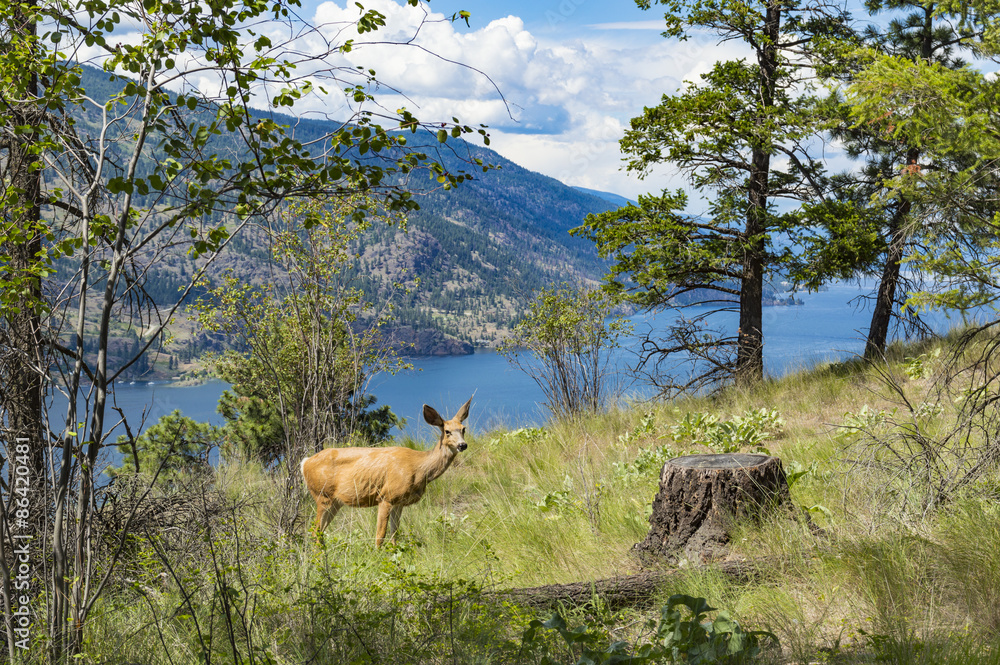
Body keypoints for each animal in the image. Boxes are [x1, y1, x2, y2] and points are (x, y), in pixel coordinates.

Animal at [300, 398, 472, 547]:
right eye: (447, 431)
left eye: (463, 429)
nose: (462, 445)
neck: (419, 468)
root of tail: (305, 463)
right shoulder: (386, 496)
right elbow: (380, 535)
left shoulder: (400, 501)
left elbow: (394, 534)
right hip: (322, 495)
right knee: (315, 532)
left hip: (335, 502)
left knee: (320, 531)